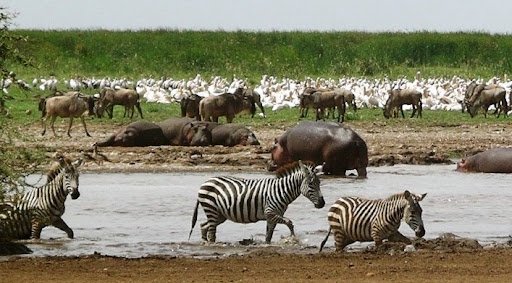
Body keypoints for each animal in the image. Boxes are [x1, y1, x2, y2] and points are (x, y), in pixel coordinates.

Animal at [188, 161, 324, 245]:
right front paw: (293, 238)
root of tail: (206, 182)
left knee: (203, 226)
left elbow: (268, 236)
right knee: (211, 233)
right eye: (311, 184)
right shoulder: (270, 212)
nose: (322, 204)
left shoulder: (273, 217)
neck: (281, 191)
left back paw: (205, 243)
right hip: (211, 209)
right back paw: (211, 244)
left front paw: (268, 244)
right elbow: (290, 223)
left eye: (319, 183)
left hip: (220, 214)